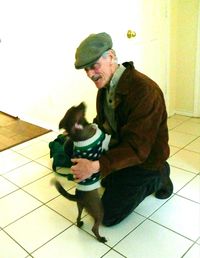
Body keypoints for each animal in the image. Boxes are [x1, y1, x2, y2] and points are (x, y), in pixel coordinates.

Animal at [52, 102, 110, 242]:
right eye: (77, 109)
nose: (83, 103)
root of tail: (79, 197)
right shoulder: (103, 139)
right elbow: (107, 139)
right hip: (99, 210)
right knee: (94, 228)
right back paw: (100, 238)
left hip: (80, 206)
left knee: (77, 217)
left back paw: (80, 223)